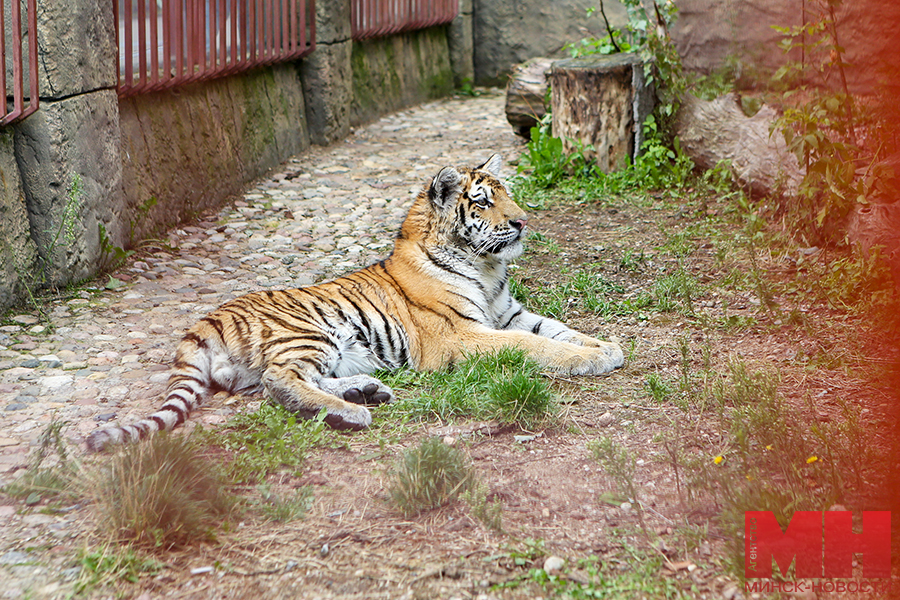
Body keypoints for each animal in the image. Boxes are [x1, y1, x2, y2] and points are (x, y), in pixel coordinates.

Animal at [84, 154, 624, 450]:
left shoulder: (508, 313)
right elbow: (532, 346)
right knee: (280, 382)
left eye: (507, 193)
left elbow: (554, 328)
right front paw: (589, 358)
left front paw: (605, 347)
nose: (522, 222)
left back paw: (366, 391)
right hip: (310, 331)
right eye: (483, 201)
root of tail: (204, 321)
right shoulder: (460, 334)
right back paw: (352, 413)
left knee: (285, 382)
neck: (487, 267)